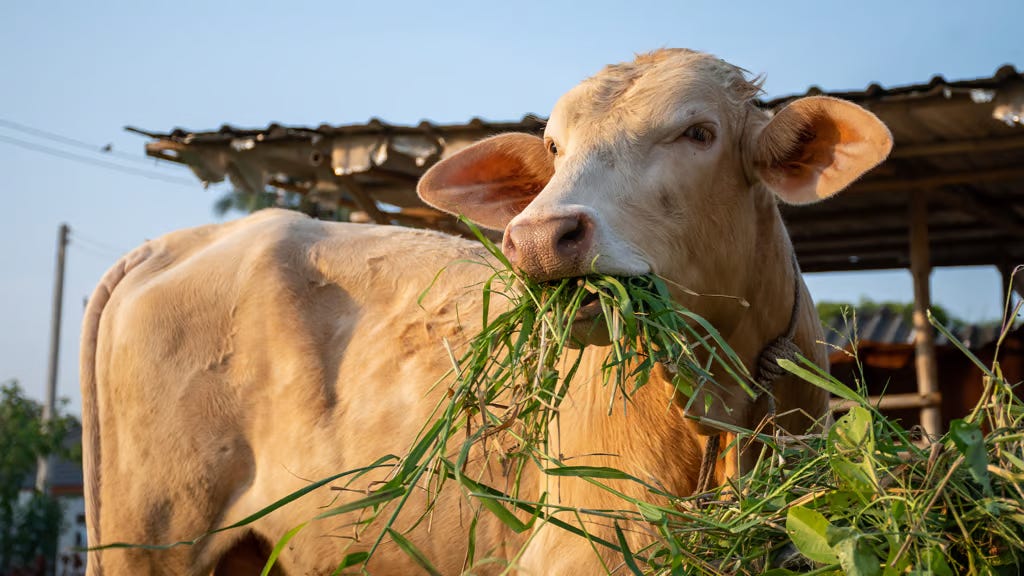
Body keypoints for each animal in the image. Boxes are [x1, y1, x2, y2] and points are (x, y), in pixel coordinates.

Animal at [80, 48, 891, 574]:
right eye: (555, 147)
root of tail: (173, 244)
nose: (537, 236)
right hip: (149, 537)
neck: (717, 416)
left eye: (699, 132)